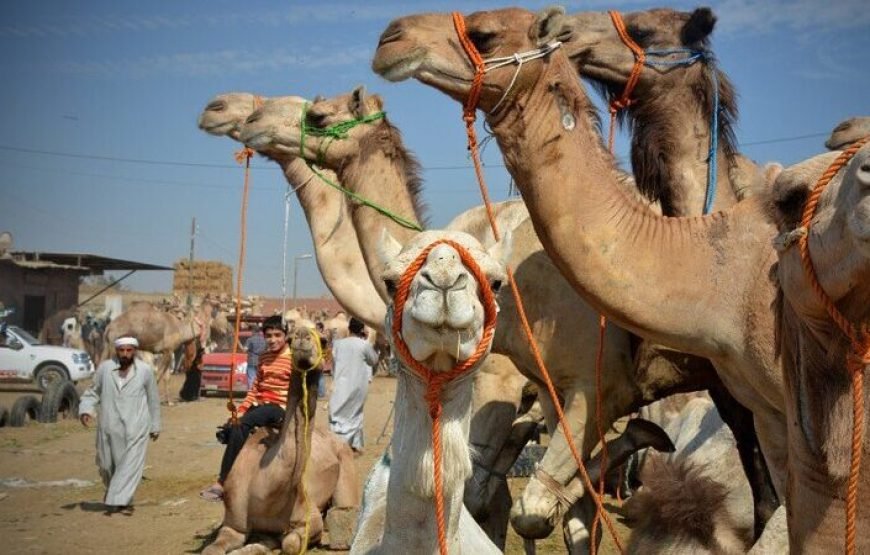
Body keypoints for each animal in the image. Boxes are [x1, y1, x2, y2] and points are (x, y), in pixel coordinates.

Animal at [203, 327, 360, 554]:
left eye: (323, 340)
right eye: (291, 338)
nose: (303, 336)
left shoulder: (309, 516)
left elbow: (291, 543)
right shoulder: (235, 524)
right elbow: (215, 548)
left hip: (345, 462)